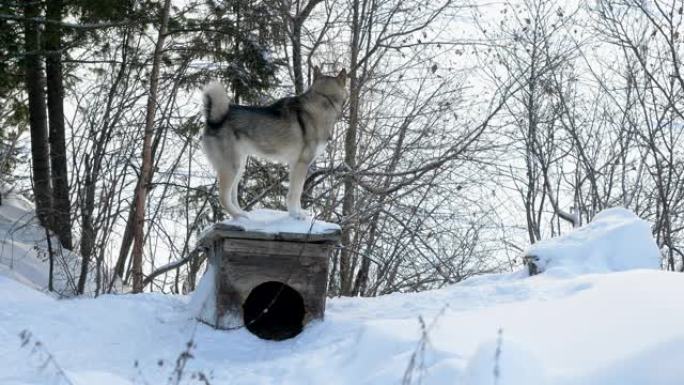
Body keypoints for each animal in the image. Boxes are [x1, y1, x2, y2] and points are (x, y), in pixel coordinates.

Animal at [200, 67, 344, 219]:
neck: (323, 98)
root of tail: (214, 119)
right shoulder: (302, 164)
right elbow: (295, 193)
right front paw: (296, 215)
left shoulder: (294, 165)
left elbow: (295, 193)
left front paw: (298, 212)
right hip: (231, 167)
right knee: (223, 198)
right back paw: (238, 215)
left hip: (239, 166)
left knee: (232, 196)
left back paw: (242, 214)